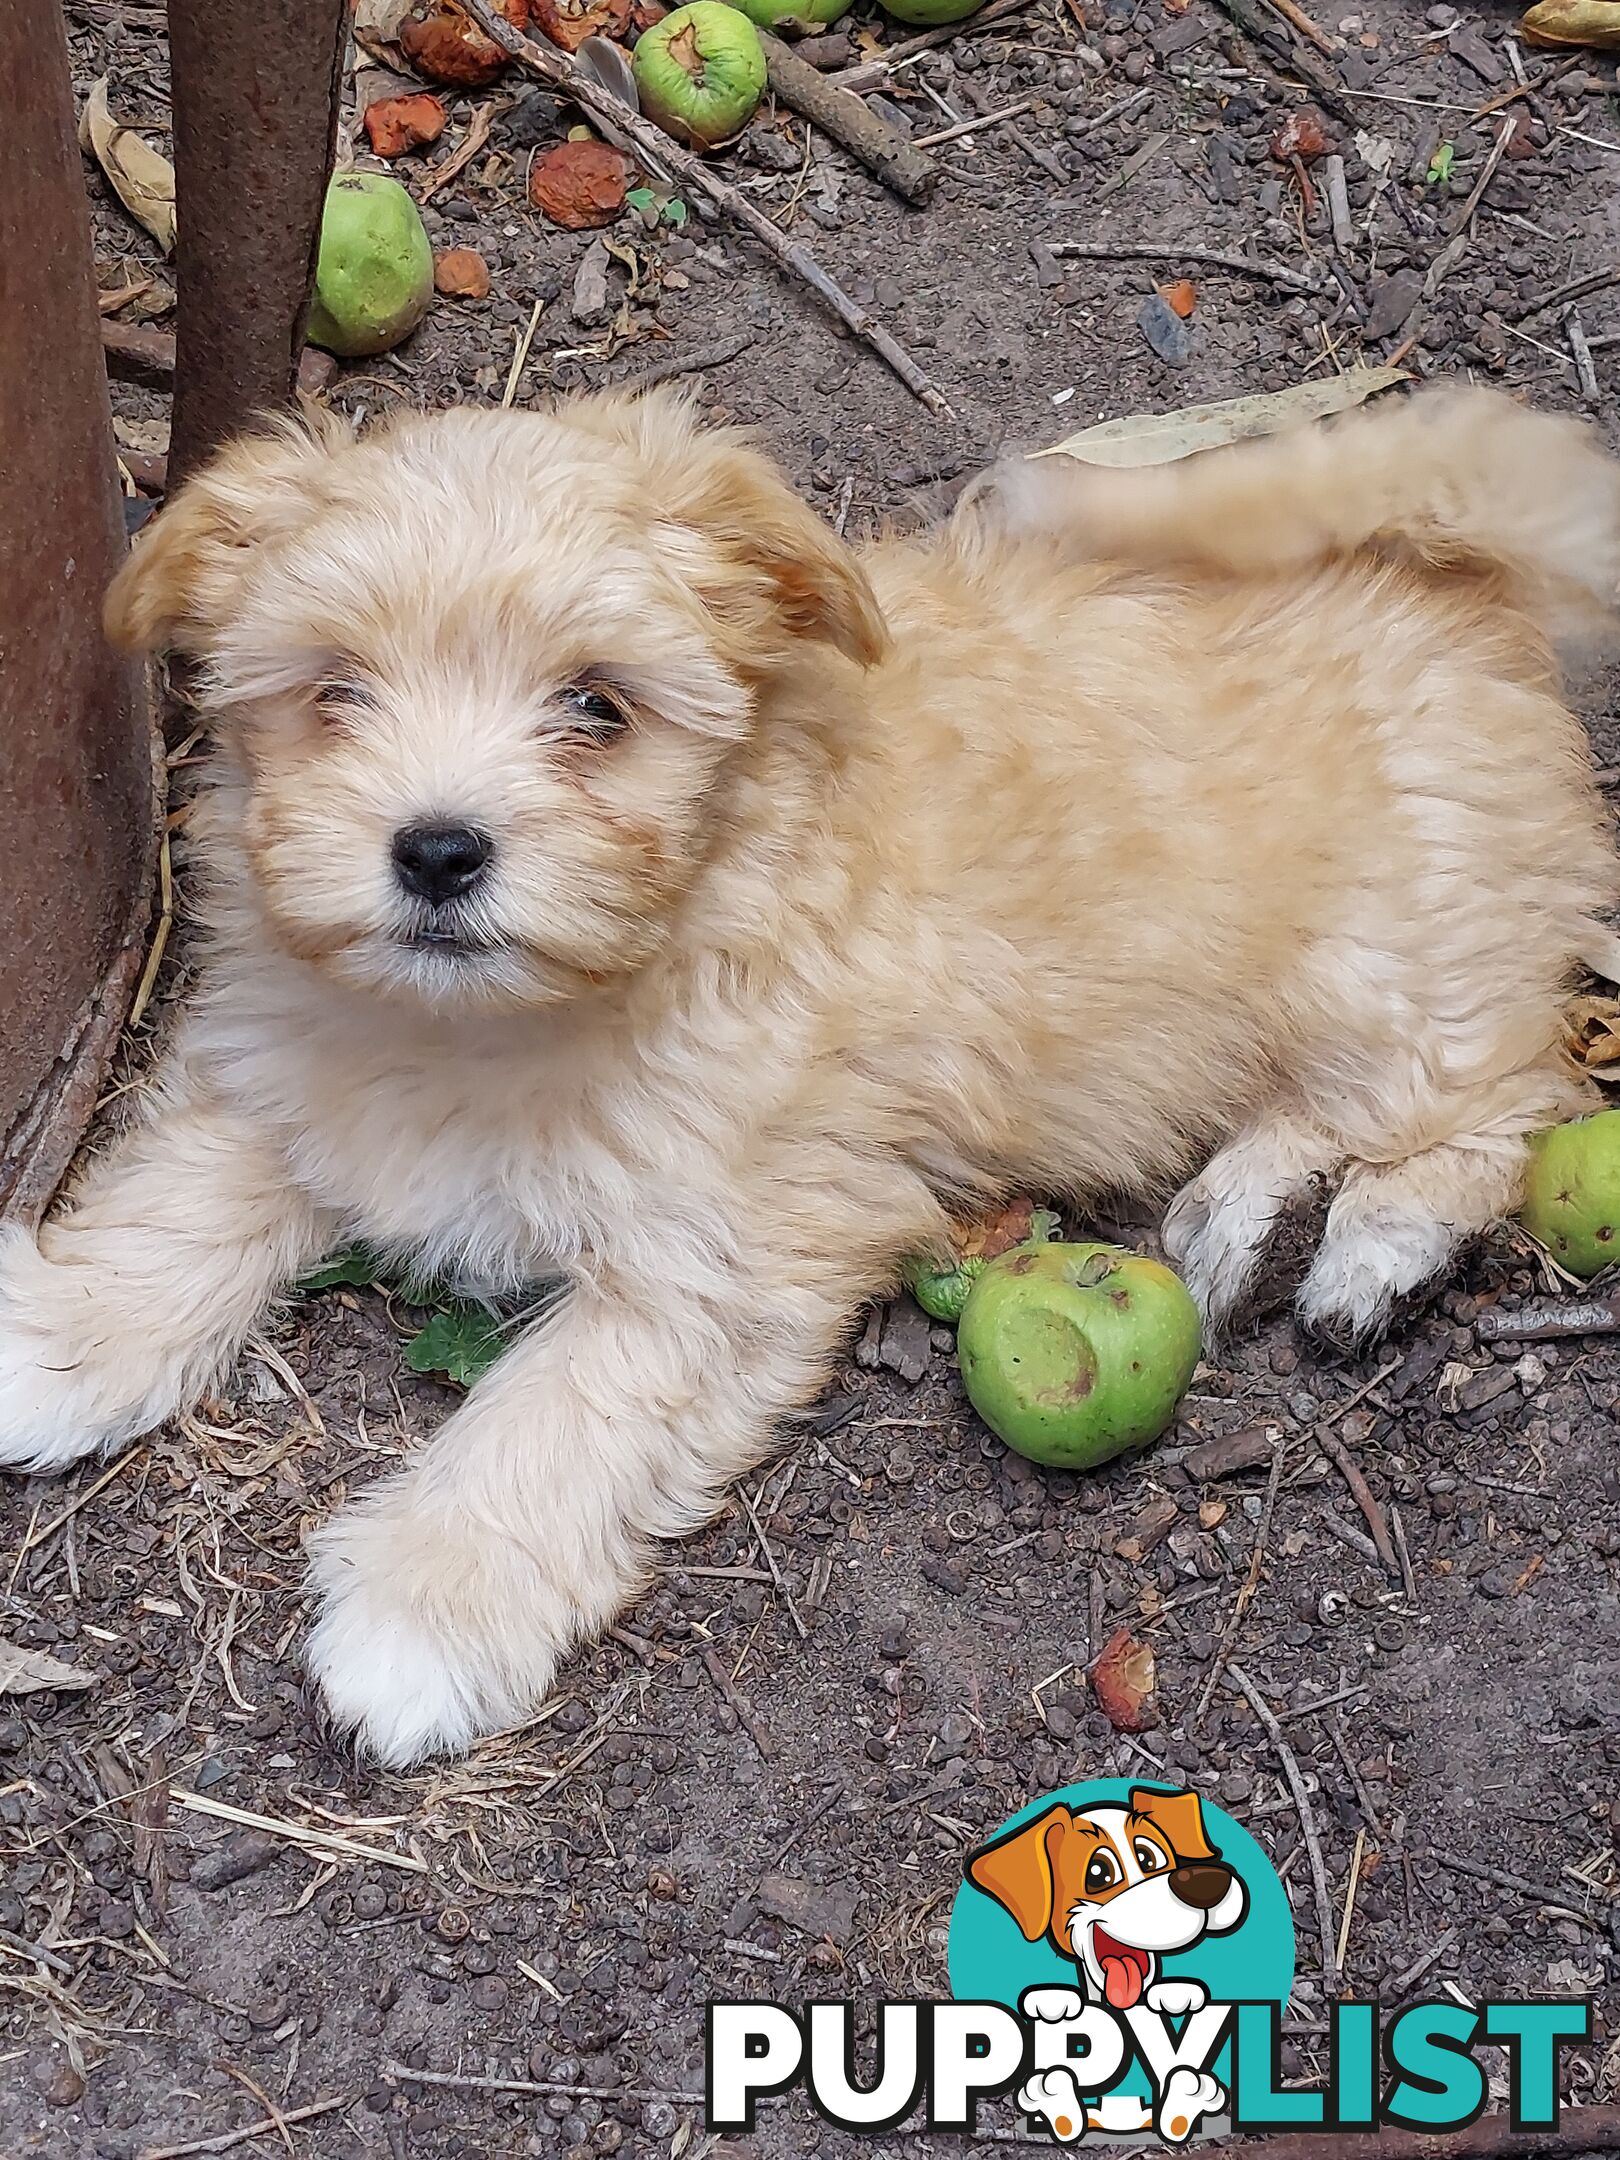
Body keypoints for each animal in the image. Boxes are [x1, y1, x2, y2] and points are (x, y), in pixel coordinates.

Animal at [3, 393, 1620, 1771]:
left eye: (598, 709)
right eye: (334, 691)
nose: (438, 850)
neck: (508, 1018)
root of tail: (1454, 582)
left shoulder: (719, 1255)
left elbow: (556, 1417)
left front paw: (428, 1606)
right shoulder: (288, 1060)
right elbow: (182, 1195)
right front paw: (62, 1334)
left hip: (1396, 962)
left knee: (1497, 1094)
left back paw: (1373, 1243)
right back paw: (1246, 1221)